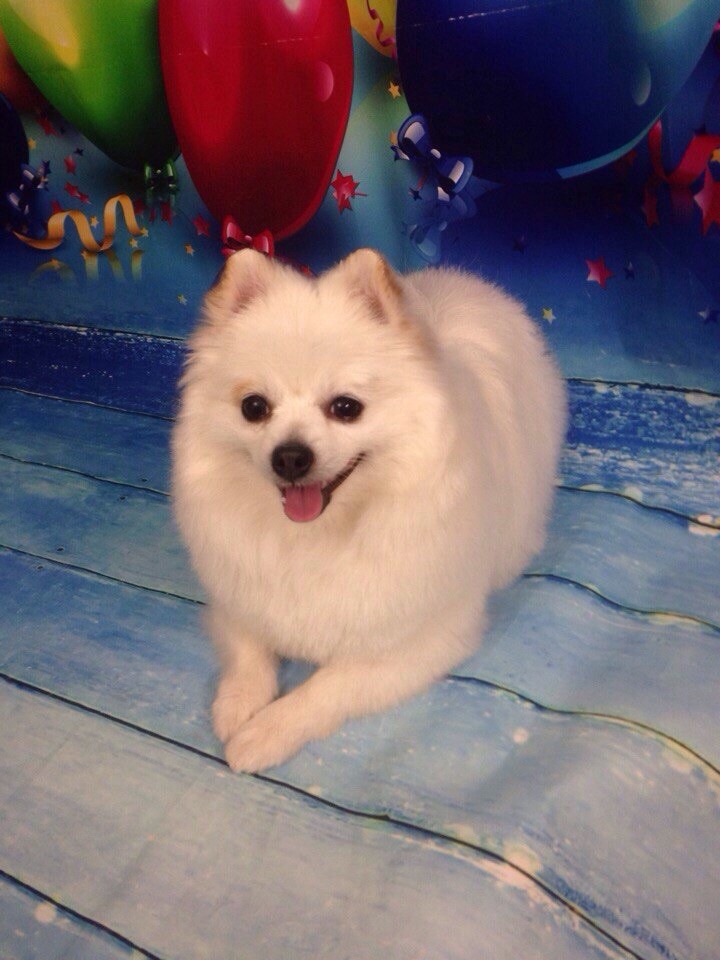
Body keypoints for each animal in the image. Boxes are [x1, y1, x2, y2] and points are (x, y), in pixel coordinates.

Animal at [171, 248, 567, 772]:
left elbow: (327, 688)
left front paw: (264, 733)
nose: (290, 456)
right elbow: (248, 652)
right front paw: (237, 705)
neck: (316, 536)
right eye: (254, 407)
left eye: (346, 407)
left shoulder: (418, 643)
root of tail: (469, 286)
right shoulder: (239, 599)